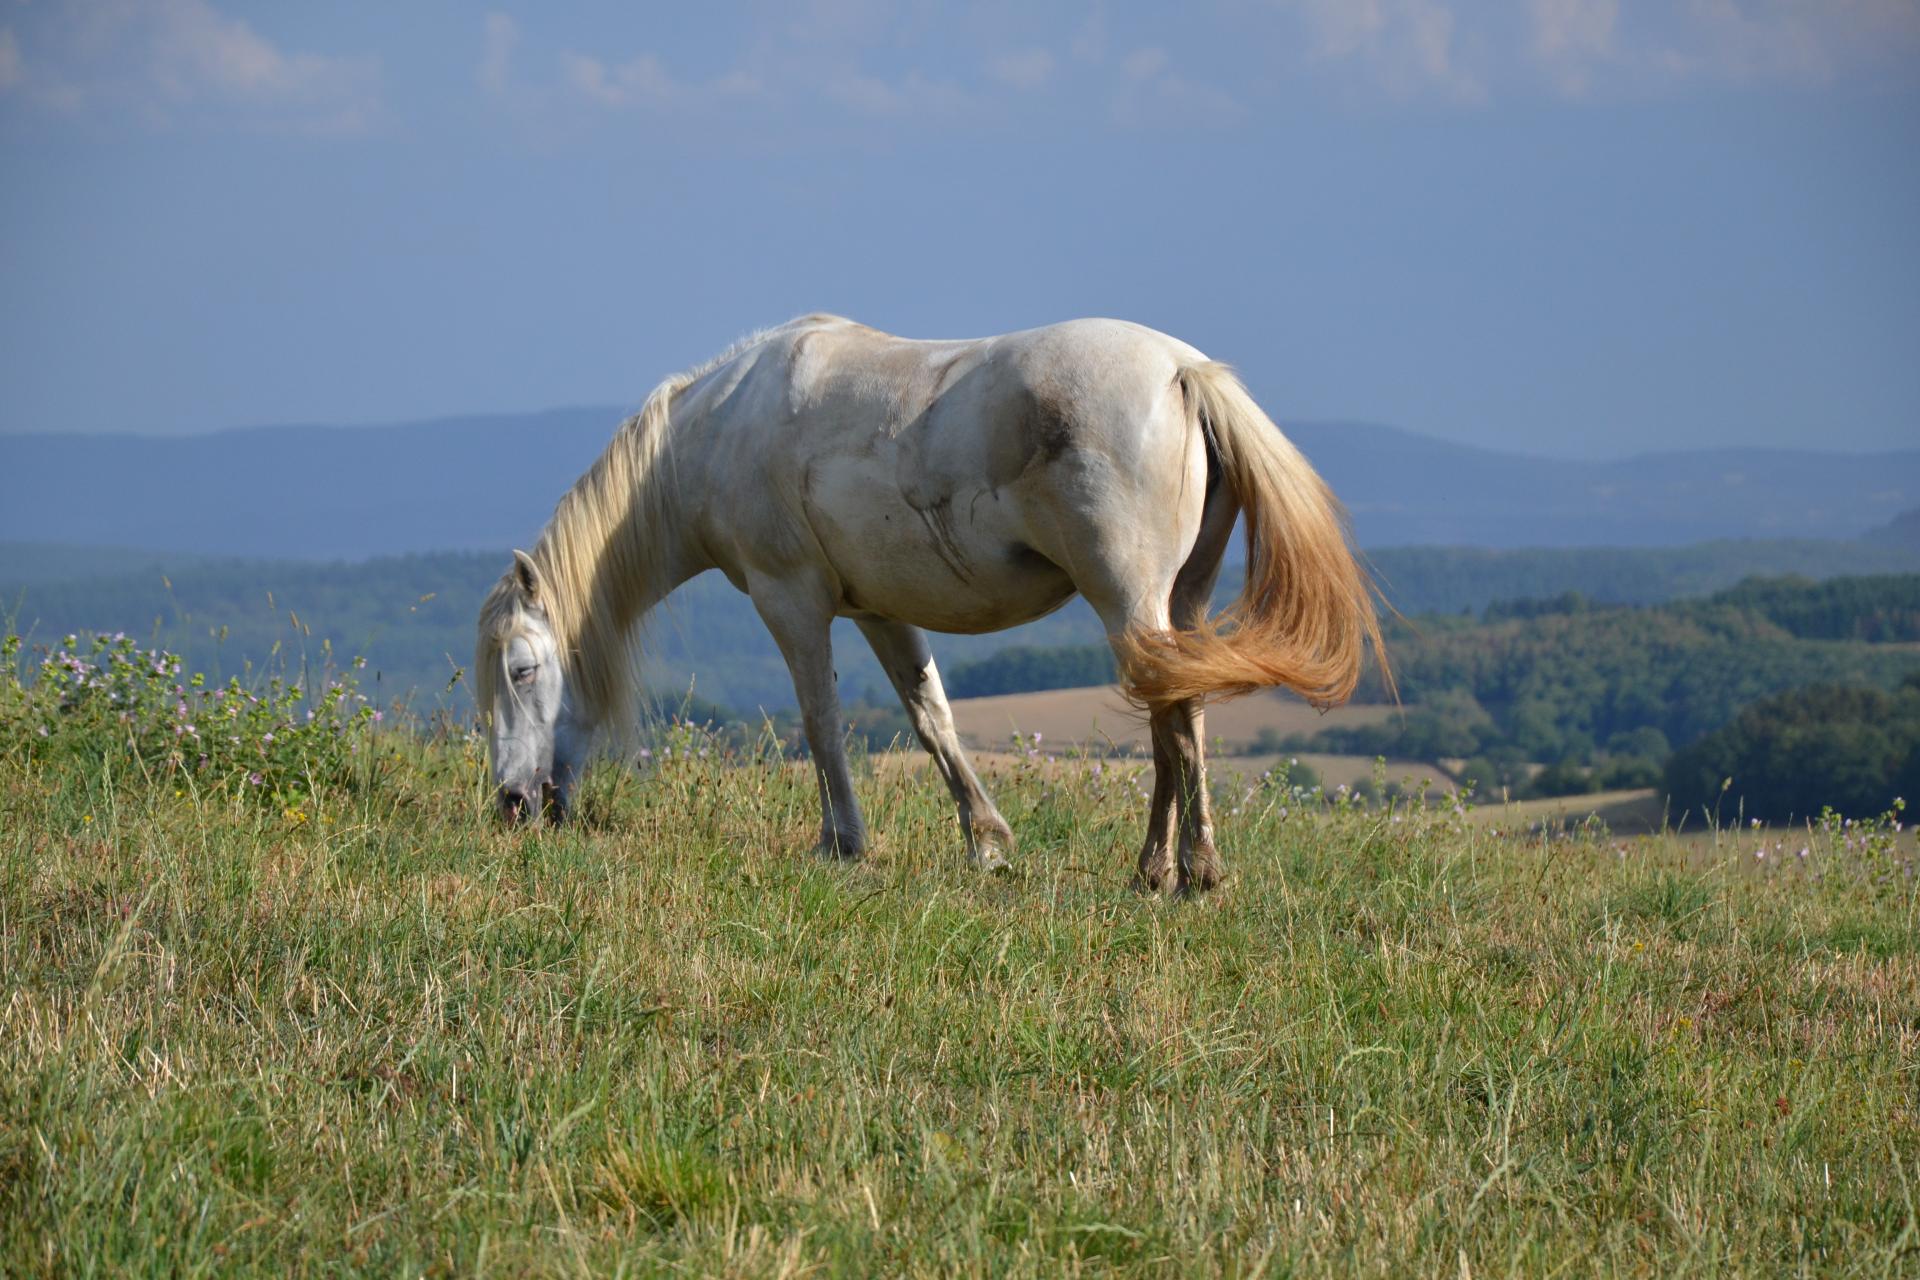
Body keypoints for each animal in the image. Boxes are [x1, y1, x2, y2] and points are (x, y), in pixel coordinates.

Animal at [474, 312, 1390, 890]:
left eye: (522, 669)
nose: (511, 805)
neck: (715, 434)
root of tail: (1181, 372)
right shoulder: (881, 610)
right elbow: (932, 719)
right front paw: (986, 843)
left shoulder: (791, 602)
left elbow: (822, 723)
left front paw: (842, 844)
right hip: (1179, 604)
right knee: (1183, 715)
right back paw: (1175, 870)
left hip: (1131, 602)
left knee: (1173, 723)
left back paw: (1176, 871)